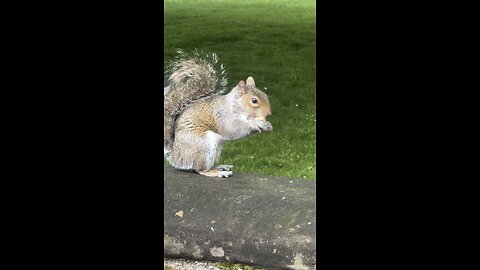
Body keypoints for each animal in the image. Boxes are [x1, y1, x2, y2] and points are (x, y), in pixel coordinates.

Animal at [164, 49, 270, 178]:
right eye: (254, 101)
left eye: (265, 94)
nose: (269, 113)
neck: (235, 106)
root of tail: (177, 157)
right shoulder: (223, 116)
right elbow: (232, 128)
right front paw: (256, 123)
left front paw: (266, 125)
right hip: (203, 146)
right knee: (200, 169)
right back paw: (216, 172)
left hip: (216, 149)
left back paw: (219, 167)